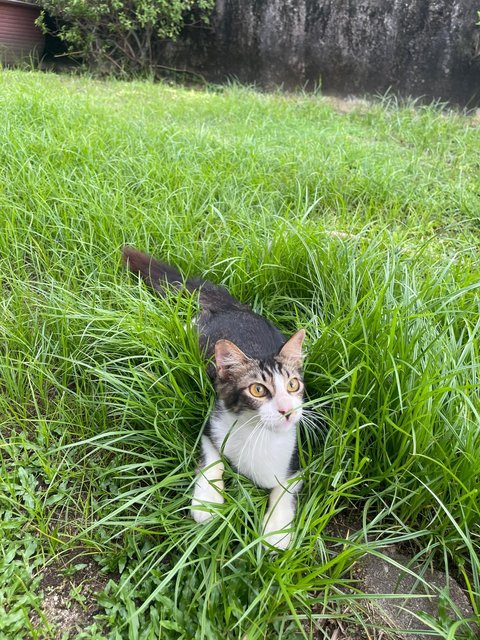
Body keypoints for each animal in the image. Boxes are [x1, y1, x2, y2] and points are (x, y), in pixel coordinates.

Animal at [122, 246, 306, 552]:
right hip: (201, 336)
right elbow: (212, 459)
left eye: (293, 385)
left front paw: (277, 531)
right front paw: (207, 502)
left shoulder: (295, 458)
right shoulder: (213, 425)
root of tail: (235, 308)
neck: (255, 432)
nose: (286, 410)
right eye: (258, 390)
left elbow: (284, 489)